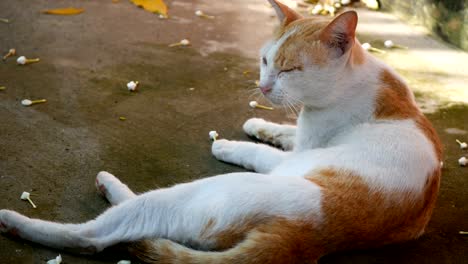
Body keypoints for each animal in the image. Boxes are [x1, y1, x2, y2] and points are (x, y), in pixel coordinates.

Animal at [0, 1, 442, 262]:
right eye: (265, 61)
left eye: (289, 69)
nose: (263, 87)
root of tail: (303, 239)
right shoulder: (300, 138)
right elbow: (277, 133)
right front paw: (256, 124)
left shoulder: (304, 150)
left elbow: (263, 152)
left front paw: (229, 144)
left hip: (198, 196)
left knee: (104, 233)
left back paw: (25, 218)